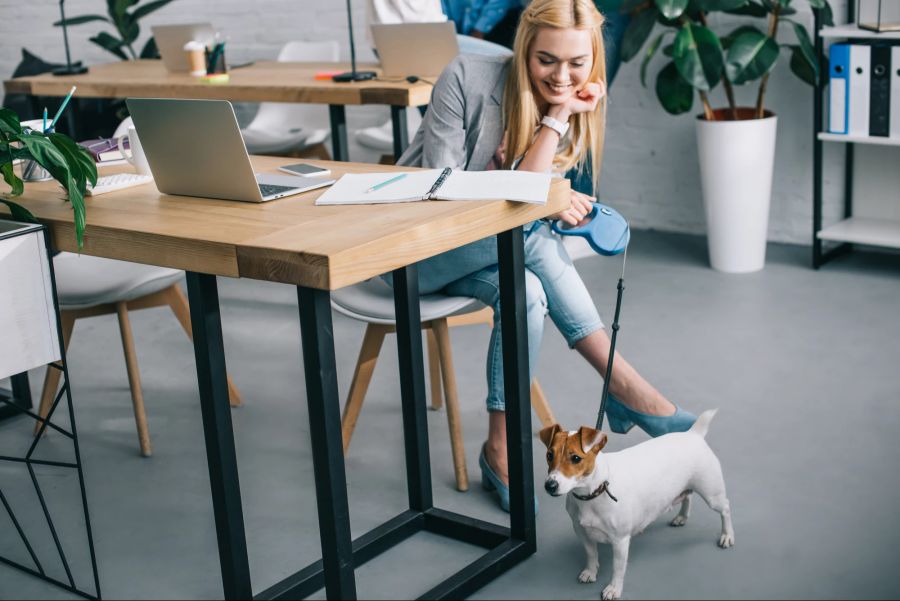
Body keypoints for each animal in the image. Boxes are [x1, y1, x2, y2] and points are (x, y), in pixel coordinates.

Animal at [536, 410, 736, 596]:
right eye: (549, 455)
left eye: (576, 458)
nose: (550, 485)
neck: (594, 491)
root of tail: (693, 434)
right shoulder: (581, 531)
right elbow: (591, 554)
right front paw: (590, 572)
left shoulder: (620, 541)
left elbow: (617, 569)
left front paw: (613, 589)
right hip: (685, 486)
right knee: (688, 496)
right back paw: (681, 517)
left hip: (712, 494)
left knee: (725, 507)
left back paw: (727, 535)